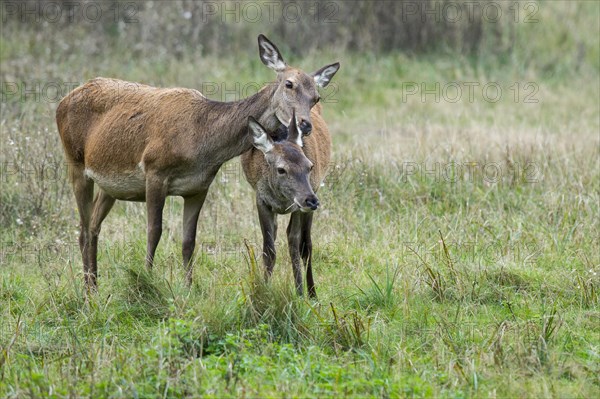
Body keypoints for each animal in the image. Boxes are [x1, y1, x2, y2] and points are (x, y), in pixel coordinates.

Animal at [240, 104, 332, 298]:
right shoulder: (261, 201)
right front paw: (264, 289)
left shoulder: (298, 207)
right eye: (281, 169)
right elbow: (269, 249)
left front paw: (300, 293)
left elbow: (295, 245)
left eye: (310, 166)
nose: (311, 201)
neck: (281, 199)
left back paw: (312, 293)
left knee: (307, 245)